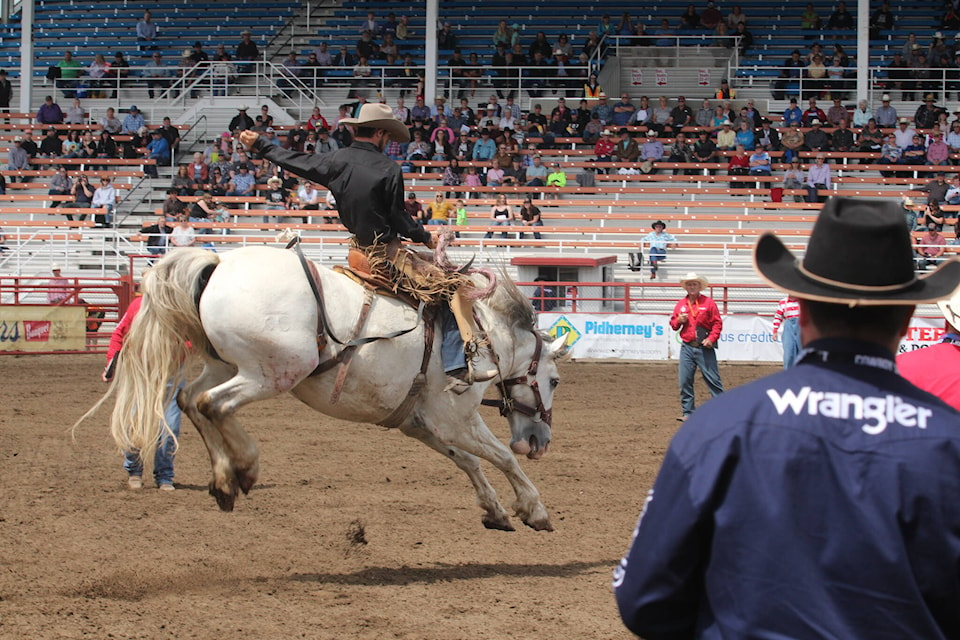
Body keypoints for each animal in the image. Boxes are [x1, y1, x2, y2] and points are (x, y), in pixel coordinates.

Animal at [92, 245, 564, 528]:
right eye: (554, 380)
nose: (540, 442)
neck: (487, 339)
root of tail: (219, 264)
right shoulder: (456, 420)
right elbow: (500, 456)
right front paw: (534, 508)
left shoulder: (419, 424)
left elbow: (467, 462)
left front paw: (496, 511)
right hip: (273, 371)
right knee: (213, 404)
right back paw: (244, 468)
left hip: (225, 365)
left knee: (190, 399)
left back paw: (224, 481)